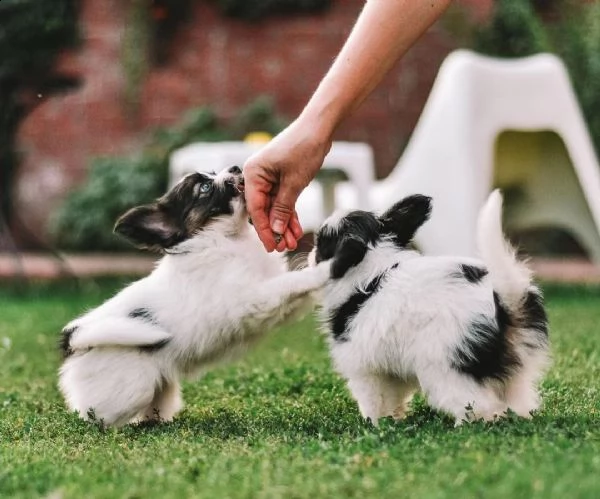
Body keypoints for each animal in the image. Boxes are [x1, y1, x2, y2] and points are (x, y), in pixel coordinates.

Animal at [58, 166, 330, 428]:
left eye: (213, 173)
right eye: (205, 187)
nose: (235, 167)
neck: (227, 238)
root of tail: (76, 339)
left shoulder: (279, 304)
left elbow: (294, 286)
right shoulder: (252, 299)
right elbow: (290, 282)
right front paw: (325, 269)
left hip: (161, 389)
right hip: (130, 391)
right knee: (96, 416)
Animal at [312, 191, 552, 426]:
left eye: (321, 244)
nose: (311, 255)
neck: (374, 273)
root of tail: (503, 307)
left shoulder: (364, 369)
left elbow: (372, 401)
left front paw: (373, 424)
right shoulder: (390, 370)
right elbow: (393, 397)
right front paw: (394, 419)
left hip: (447, 371)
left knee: (481, 408)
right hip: (515, 377)